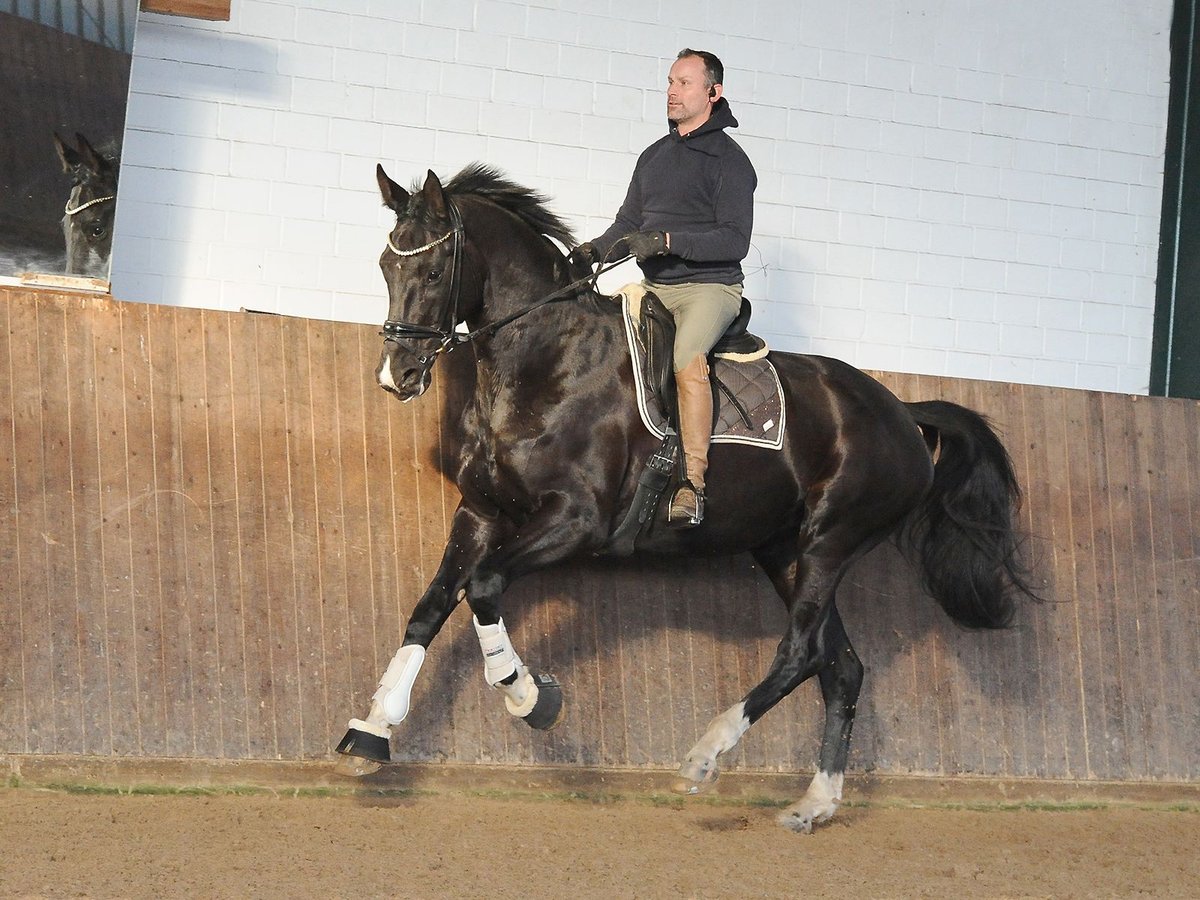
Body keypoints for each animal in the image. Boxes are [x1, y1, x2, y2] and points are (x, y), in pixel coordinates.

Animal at [333, 165, 1036, 835]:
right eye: (386, 266)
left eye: (432, 269)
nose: (397, 375)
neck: (545, 358)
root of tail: (901, 412)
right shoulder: (481, 513)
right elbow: (429, 608)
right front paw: (372, 730)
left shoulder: (576, 521)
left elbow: (482, 588)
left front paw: (531, 698)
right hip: (784, 549)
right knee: (842, 667)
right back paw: (813, 805)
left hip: (831, 541)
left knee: (801, 652)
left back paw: (705, 754)